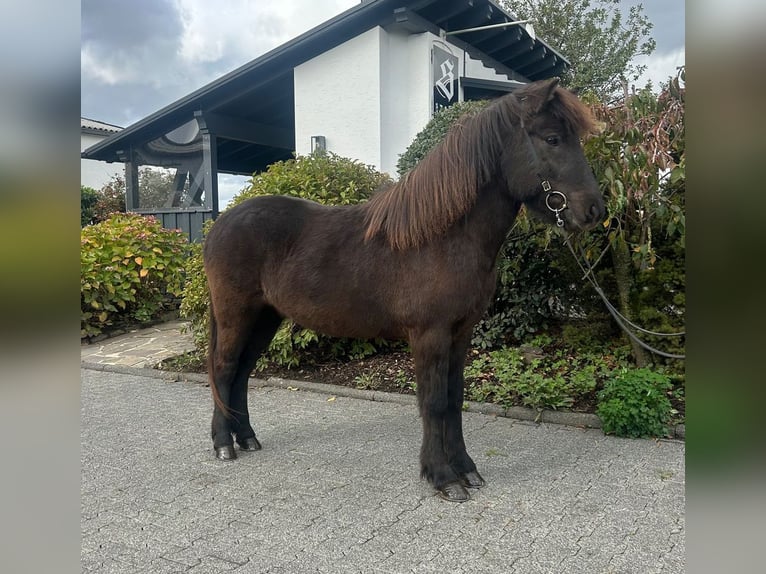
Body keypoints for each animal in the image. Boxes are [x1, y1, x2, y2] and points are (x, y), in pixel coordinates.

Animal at [202, 78, 605, 502]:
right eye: (552, 138)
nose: (595, 210)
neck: (442, 237)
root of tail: (220, 225)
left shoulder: (460, 333)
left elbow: (454, 399)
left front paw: (466, 469)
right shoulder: (430, 335)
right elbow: (434, 402)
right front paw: (443, 477)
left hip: (265, 317)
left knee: (243, 372)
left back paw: (246, 438)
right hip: (236, 314)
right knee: (225, 368)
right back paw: (224, 444)